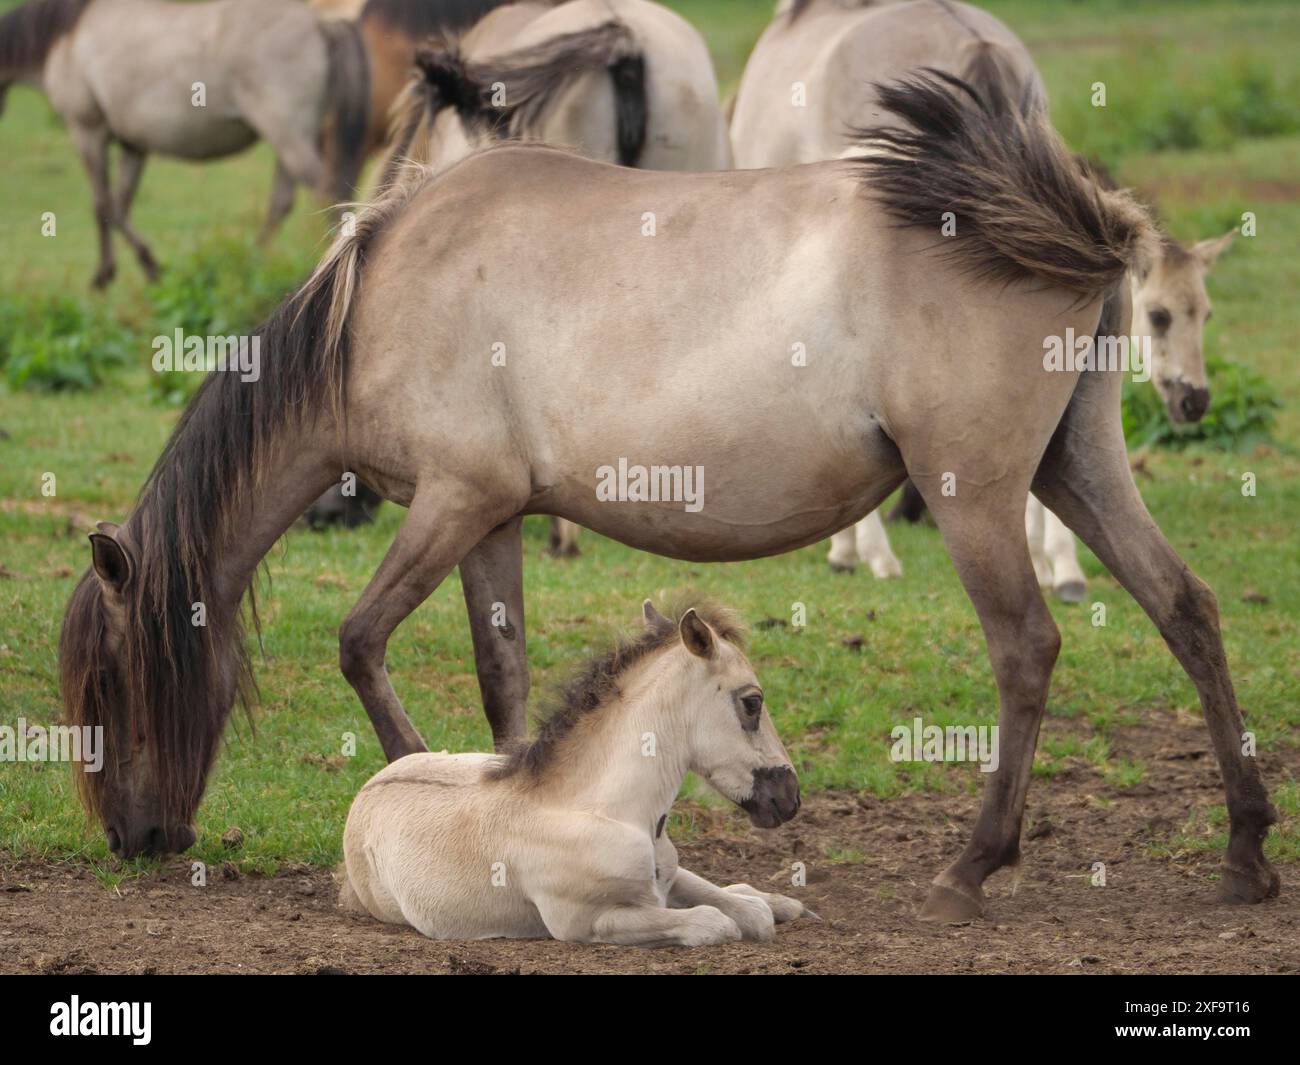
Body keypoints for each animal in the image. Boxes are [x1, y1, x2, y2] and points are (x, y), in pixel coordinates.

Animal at [1, 0, 371, 287]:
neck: (67, 36)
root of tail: (319, 24)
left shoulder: (88, 132)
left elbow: (103, 204)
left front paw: (108, 273)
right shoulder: (133, 145)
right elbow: (120, 205)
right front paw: (147, 266)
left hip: (287, 134)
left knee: (326, 192)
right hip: (290, 141)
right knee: (284, 201)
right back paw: (253, 261)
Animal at [343, 603, 811, 946]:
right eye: (752, 702)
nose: (790, 797)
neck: (604, 810)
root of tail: (366, 790)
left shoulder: (664, 881)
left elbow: (747, 912)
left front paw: (771, 904)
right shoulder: (584, 921)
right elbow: (718, 922)